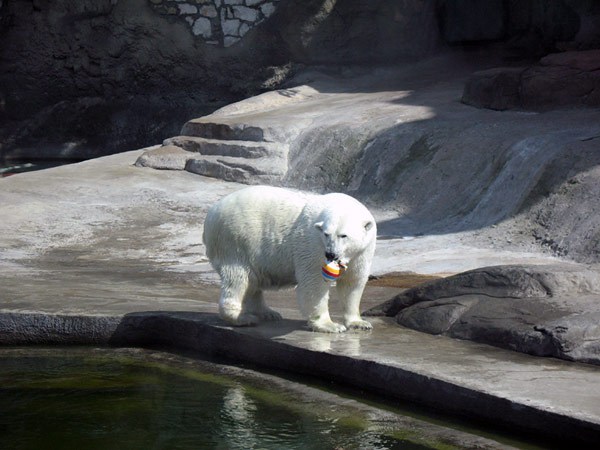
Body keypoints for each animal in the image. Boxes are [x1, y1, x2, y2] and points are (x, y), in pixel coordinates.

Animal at [204, 185, 378, 332]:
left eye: (343, 235)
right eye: (326, 234)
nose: (330, 254)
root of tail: (212, 212)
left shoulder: (363, 252)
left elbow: (352, 283)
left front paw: (359, 323)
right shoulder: (313, 245)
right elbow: (314, 283)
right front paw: (330, 325)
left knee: (253, 281)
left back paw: (268, 313)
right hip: (235, 241)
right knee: (239, 277)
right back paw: (243, 318)